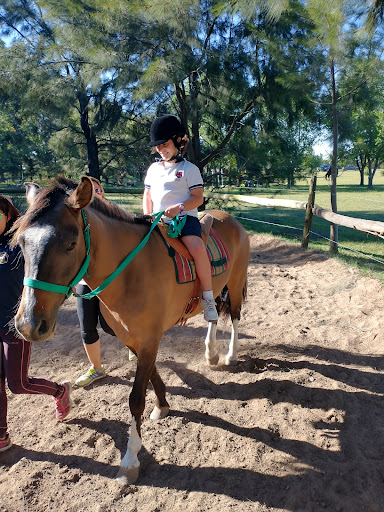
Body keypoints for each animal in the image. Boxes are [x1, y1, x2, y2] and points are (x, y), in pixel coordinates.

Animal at [12, 177, 250, 484]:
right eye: (21, 243)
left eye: (71, 244)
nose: (29, 324)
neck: (131, 273)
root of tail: (229, 219)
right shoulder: (133, 339)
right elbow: (153, 376)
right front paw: (162, 405)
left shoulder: (149, 339)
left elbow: (136, 398)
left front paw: (129, 460)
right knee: (212, 316)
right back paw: (211, 354)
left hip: (236, 281)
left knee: (235, 317)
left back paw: (230, 355)